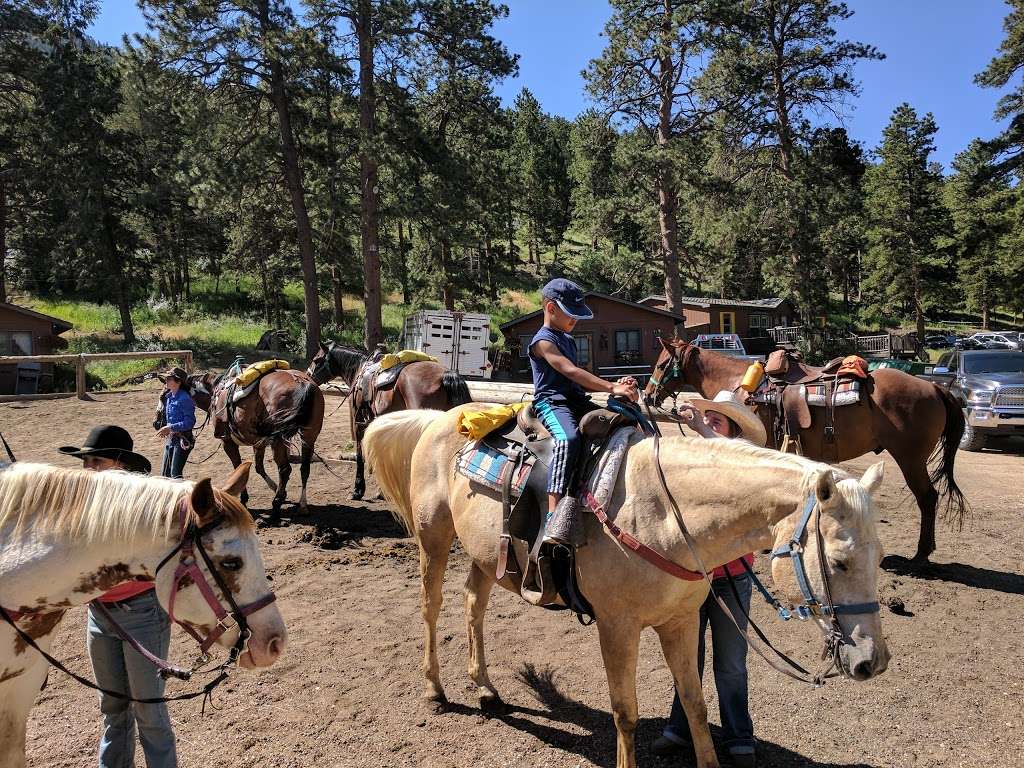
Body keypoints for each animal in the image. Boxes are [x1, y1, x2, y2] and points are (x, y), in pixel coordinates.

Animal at [187, 366, 323, 524]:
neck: (215, 390)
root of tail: (302, 383)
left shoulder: (227, 442)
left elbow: (238, 467)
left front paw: (244, 499)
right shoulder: (259, 443)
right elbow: (258, 467)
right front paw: (277, 489)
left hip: (278, 440)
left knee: (285, 469)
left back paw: (275, 508)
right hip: (309, 436)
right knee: (304, 469)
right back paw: (302, 506)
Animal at [305, 342, 473, 499]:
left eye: (316, 359)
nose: (307, 377)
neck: (359, 371)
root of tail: (445, 375)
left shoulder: (359, 423)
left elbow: (361, 455)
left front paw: (358, 490)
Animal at [364, 411, 892, 768]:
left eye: (878, 557)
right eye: (839, 562)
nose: (873, 662)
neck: (663, 513)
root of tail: (441, 418)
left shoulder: (680, 622)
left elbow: (696, 703)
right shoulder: (617, 627)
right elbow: (626, 712)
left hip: (486, 558)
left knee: (473, 605)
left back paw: (487, 688)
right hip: (433, 540)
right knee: (431, 608)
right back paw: (435, 688)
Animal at [647, 337, 966, 565]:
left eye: (661, 365)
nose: (648, 395)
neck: (742, 386)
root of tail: (936, 389)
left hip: (910, 458)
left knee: (927, 498)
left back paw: (921, 555)